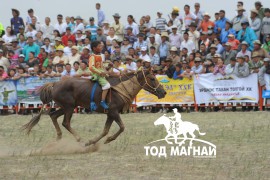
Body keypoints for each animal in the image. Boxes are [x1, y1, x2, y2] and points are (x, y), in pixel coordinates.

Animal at [22, 69, 167, 146]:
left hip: (67, 107)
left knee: (53, 116)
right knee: (65, 122)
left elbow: (105, 130)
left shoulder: (110, 114)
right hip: (69, 108)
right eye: (152, 78)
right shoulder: (113, 112)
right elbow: (121, 127)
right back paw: (79, 139)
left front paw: (94, 141)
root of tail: (54, 84)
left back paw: (59, 138)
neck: (120, 88)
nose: (163, 92)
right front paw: (106, 140)